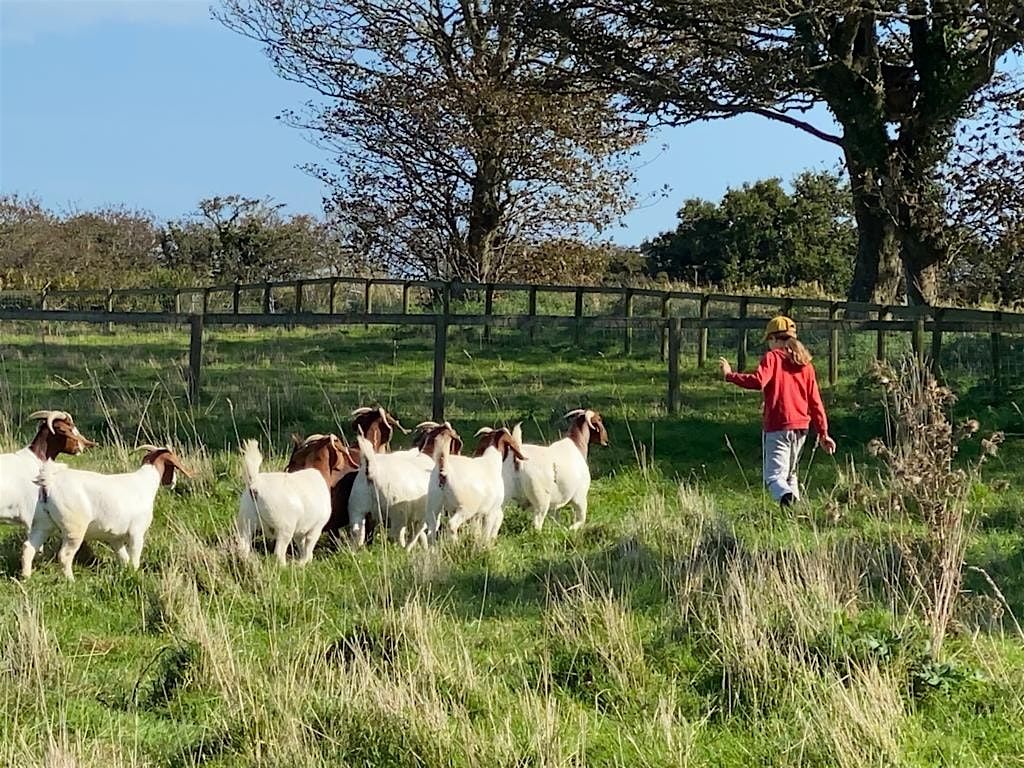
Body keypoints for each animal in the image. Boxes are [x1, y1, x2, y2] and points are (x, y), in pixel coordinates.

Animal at [23, 444, 192, 581]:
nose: (173, 483)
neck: (144, 483)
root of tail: (50, 482)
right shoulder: (137, 533)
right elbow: (134, 559)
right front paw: (135, 575)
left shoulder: (115, 537)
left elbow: (124, 558)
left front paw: (126, 573)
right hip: (74, 528)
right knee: (64, 556)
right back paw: (71, 581)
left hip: (42, 522)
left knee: (28, 547)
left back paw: (26, 577)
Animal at [237, 436, 354, 569]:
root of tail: (255, 485)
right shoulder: (316, 527)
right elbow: (309, 545)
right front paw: (303, 563)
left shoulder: (300, 530)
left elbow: (301, 545)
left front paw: (304, 561)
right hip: (284, 528)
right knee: (279, 552)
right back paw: (284, 568)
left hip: (246, 523)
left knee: (243, 548)